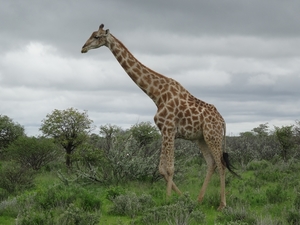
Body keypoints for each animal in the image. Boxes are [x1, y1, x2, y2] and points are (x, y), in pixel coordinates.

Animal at [80, 23, 239, 210]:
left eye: (97, 37)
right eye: (91, 34)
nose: (83, 48)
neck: (156, 94)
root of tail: (223, 121)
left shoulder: (169, 129)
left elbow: (169, 168)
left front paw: (169, 200)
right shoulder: (164, 131)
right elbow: (162, 169)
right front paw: (182, 198)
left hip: (212, 136)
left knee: (221, 164)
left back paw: (222, 205)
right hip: (200, 138)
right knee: (211, 163)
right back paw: (199, 200)